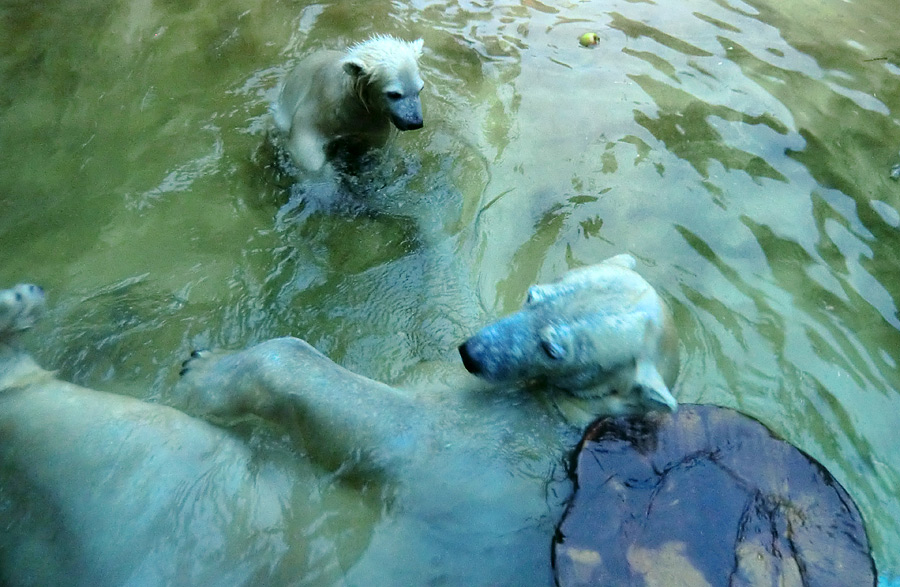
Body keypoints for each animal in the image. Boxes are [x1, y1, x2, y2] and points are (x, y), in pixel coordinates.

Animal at [0, 256, 676, 587]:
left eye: (554, 348)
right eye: (534, 295)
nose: (474, 351)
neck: (568, 412)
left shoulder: (490, 450)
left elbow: (387, 427)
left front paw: (203, 369)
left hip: (180, 509)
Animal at [270, 35, 426, 172]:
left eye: (420, 88)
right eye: (394, 94)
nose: (415, 122)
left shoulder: (372, 123)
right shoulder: (319, 106)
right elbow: (306, 149)